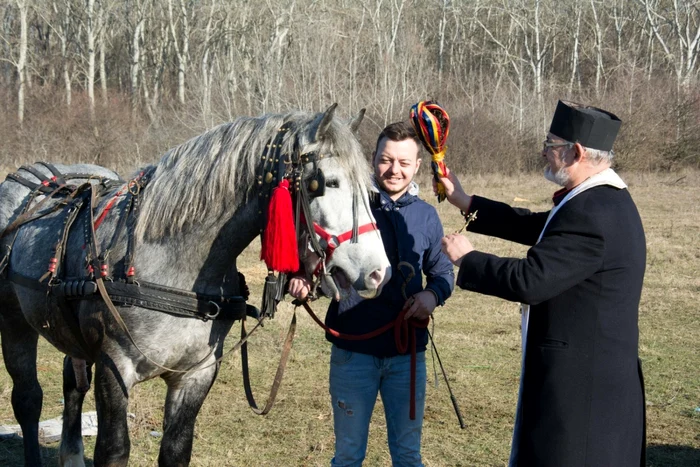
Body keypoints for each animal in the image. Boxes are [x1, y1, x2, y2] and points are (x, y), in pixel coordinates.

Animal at [0, 104, 392, 466]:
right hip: (15, 324)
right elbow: (113, 451)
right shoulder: (114, 366)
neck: (173, 264)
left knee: (72, 382)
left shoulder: (196, 374)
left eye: (370, 189)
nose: (378, 272)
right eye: (328, 182)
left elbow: (176, 450)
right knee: (28, 399)